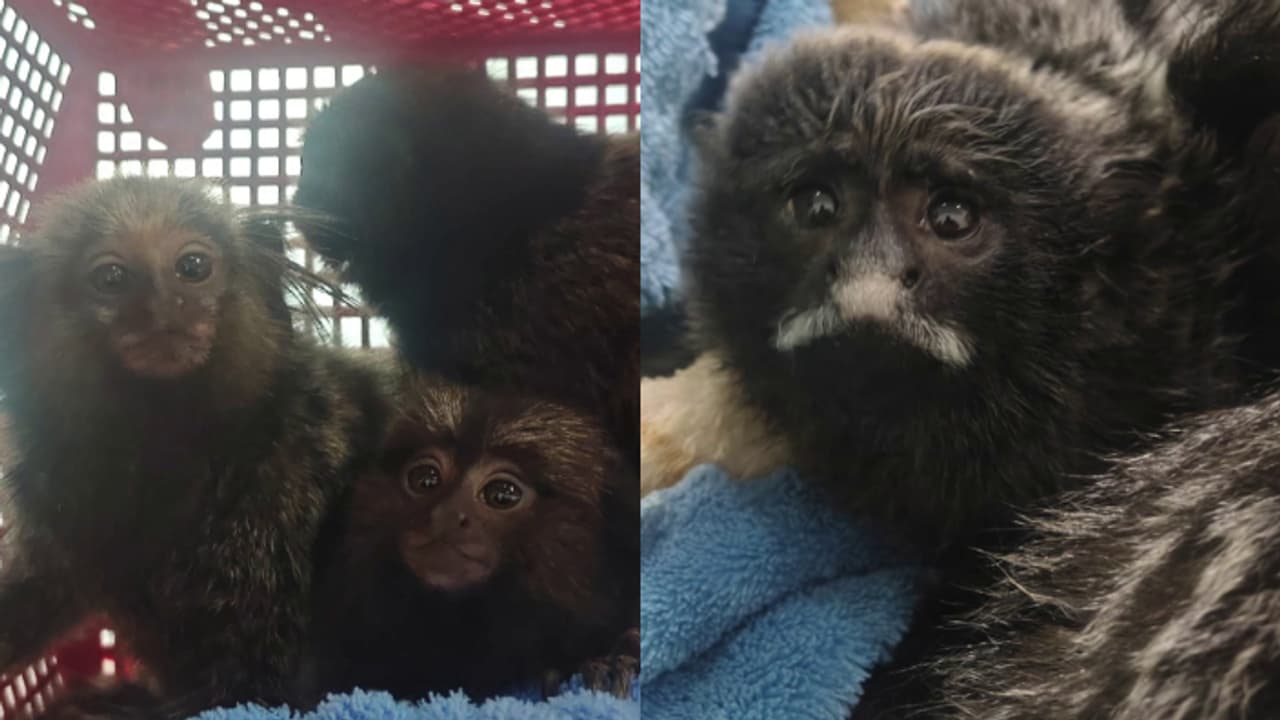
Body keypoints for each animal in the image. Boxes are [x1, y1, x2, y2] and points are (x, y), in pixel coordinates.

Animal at [0, 177, 391, 718]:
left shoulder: (279, 501)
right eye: (111, 277)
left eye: (192, 267)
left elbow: (251, 687)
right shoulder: (58, 491)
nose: (165, 309)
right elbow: (43, 587)